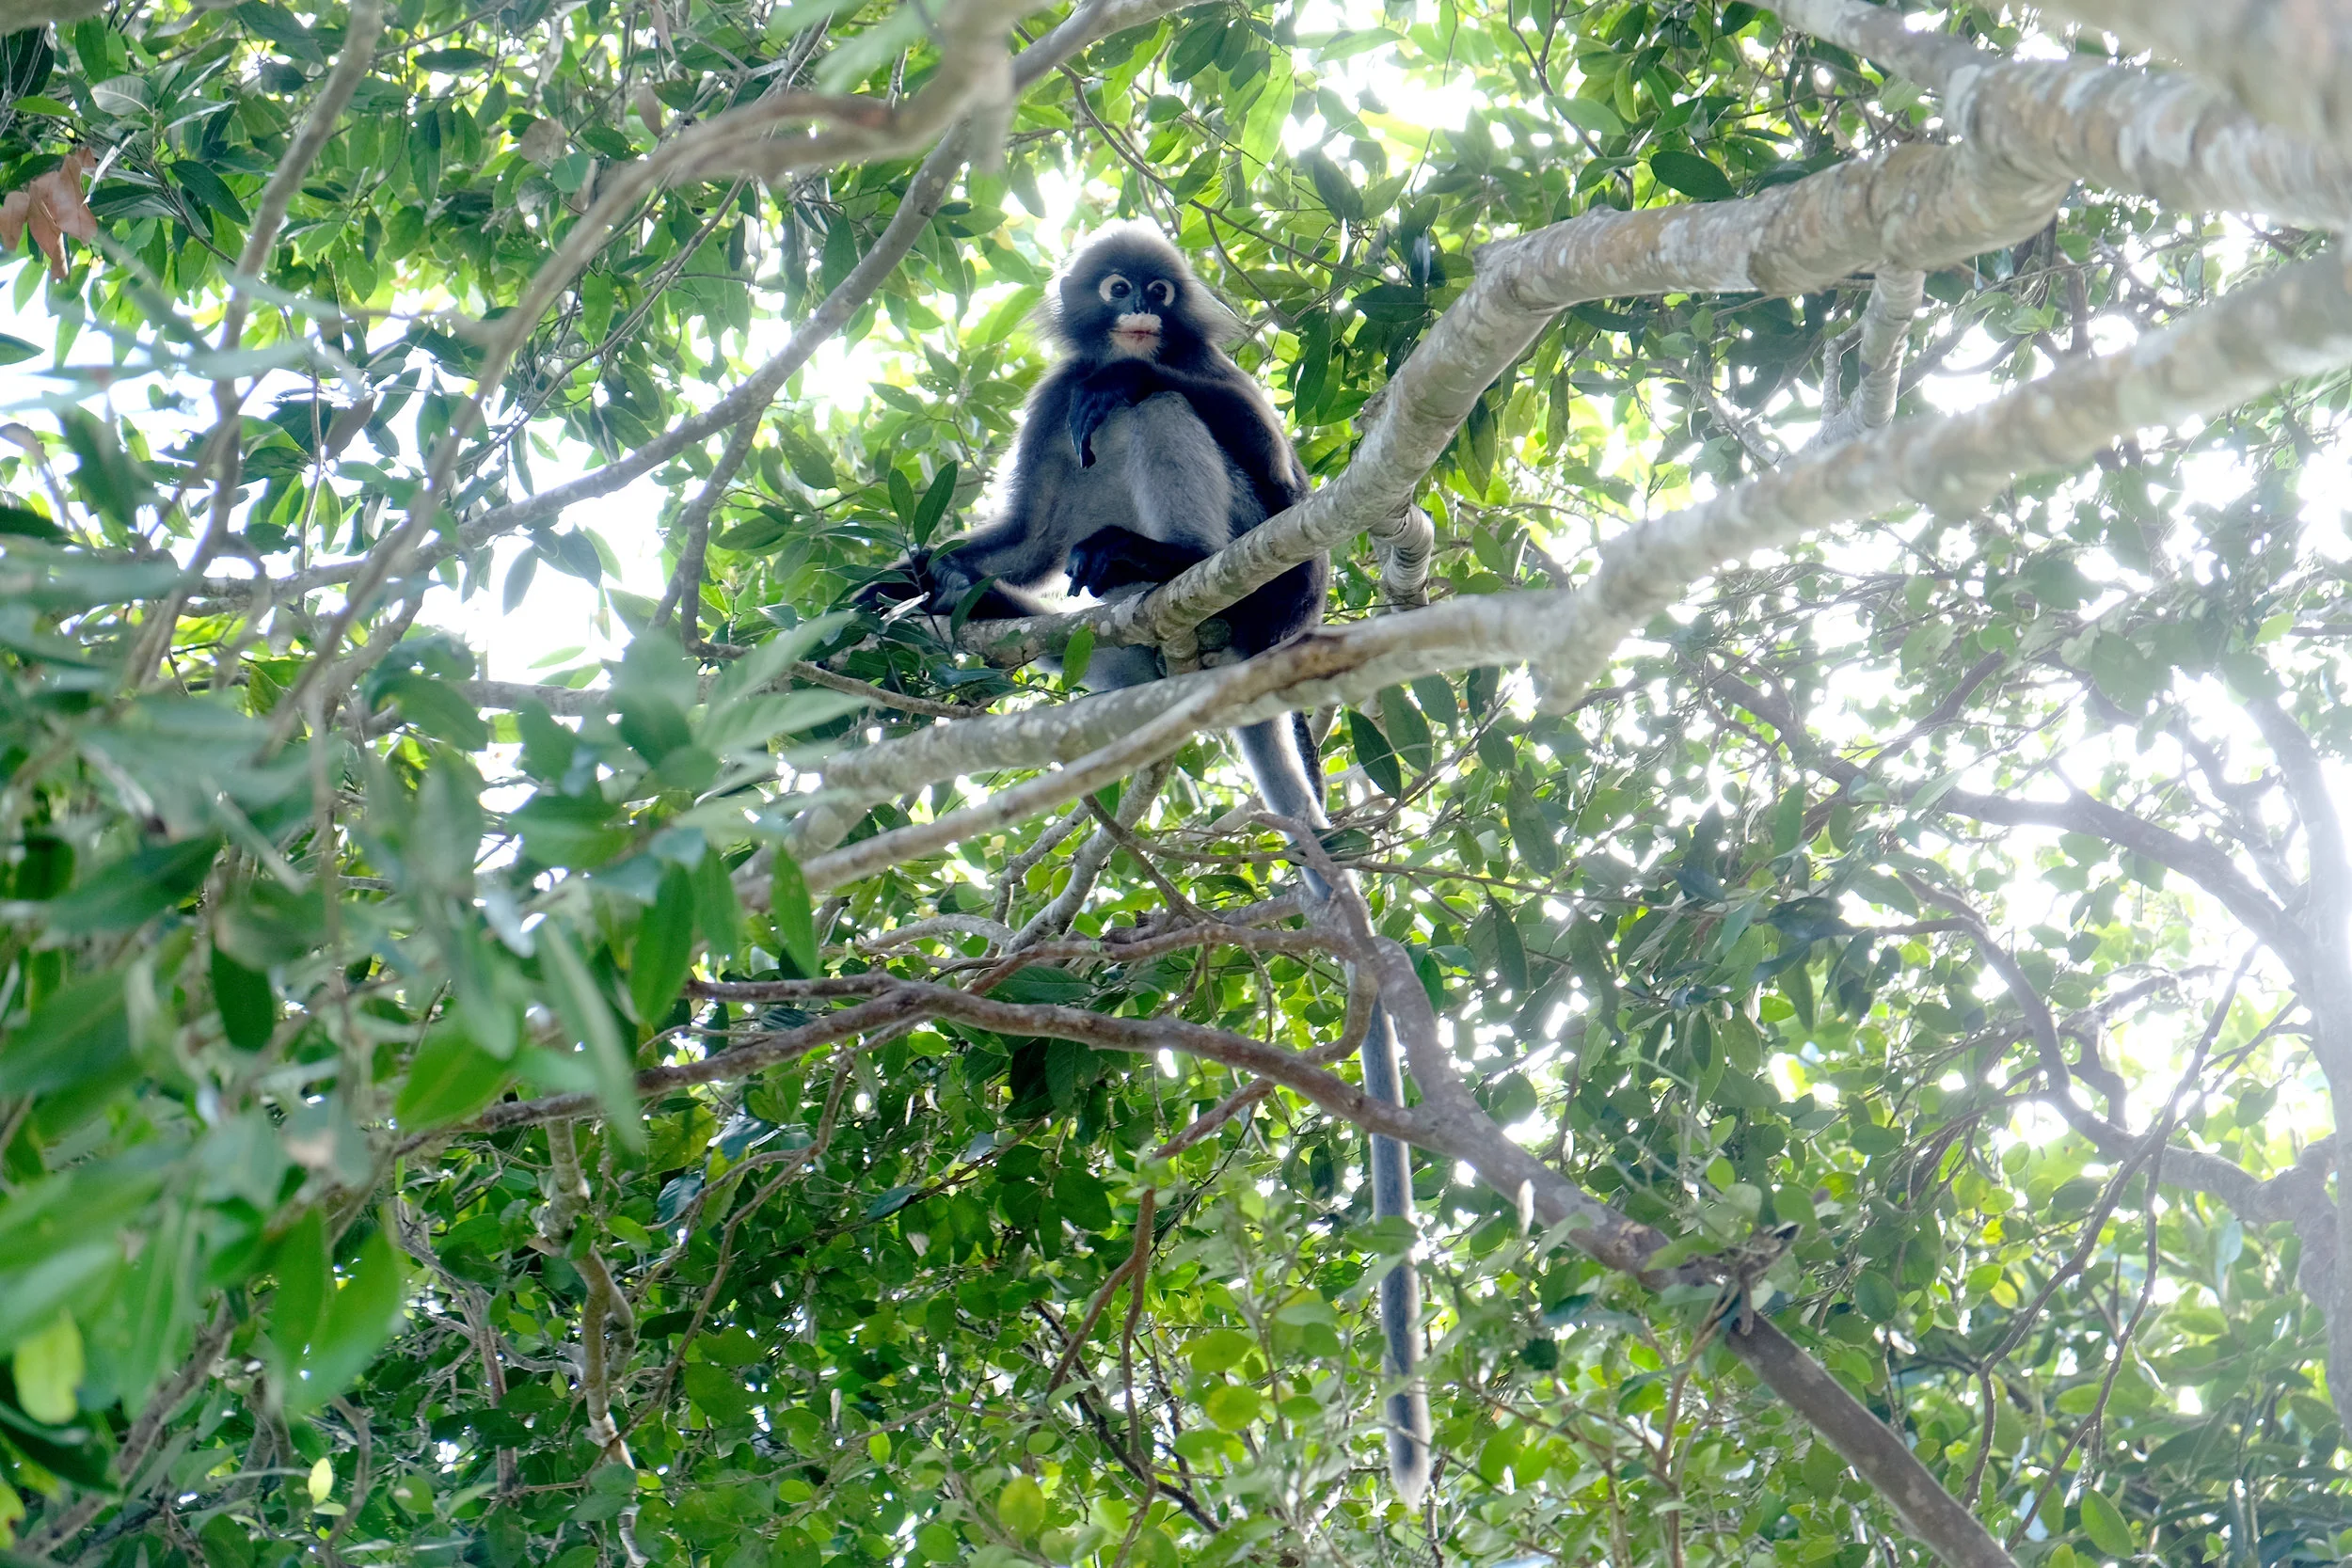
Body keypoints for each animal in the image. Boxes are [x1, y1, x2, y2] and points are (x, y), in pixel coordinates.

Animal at [858, 224, 1433, 1506]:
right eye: (1117, 287)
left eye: (1160, 292)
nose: (1135, 315)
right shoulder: (1046, 390)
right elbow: (1027, 511)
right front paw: (925, 577)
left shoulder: (1213, 396)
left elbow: (1237, 443)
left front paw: (1139, 379)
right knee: (1065, 519)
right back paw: (1003, 592)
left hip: (1253, 583)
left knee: (1164, 432)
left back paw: (1156, 545)